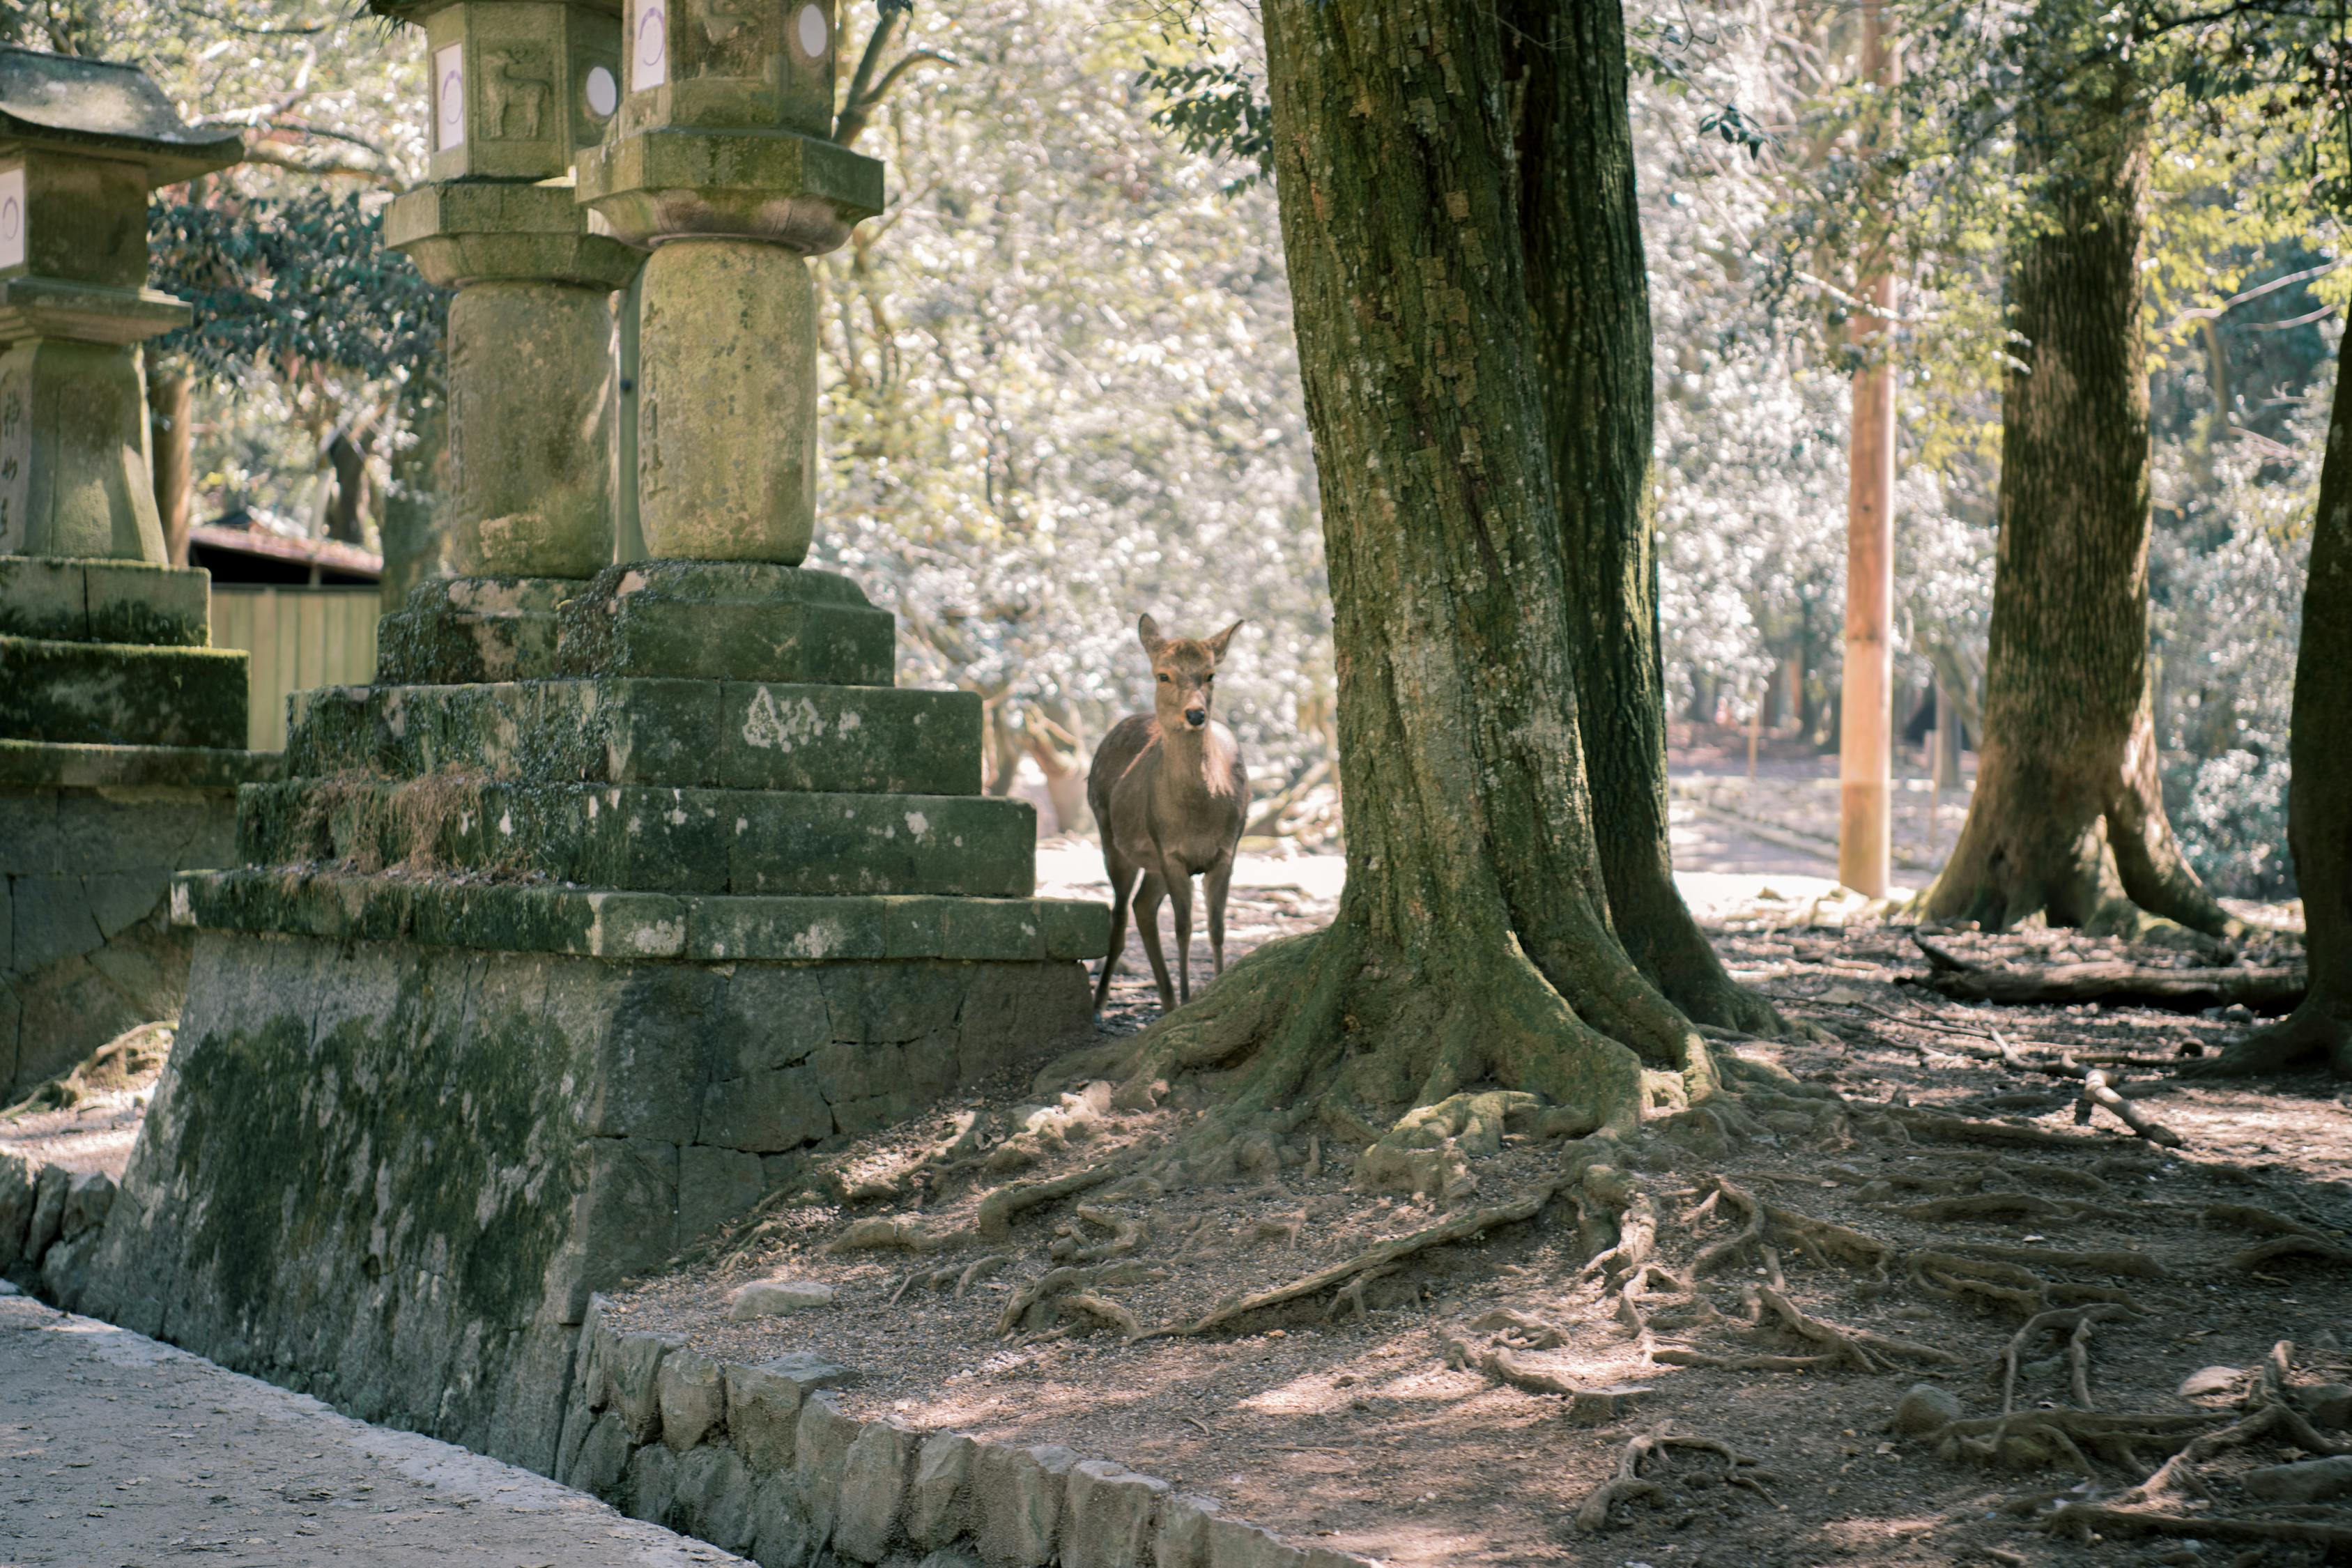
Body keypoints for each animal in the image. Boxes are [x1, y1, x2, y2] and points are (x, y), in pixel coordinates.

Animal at [1091, 611, 1251, 1020]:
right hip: (1110, 835)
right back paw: (1100, 1003)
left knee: (1143, 907)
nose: (1195, 714)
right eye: (1163, 675)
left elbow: (1216, 928)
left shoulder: (1227, 851)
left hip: (1153, 863)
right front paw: (1189, 1000)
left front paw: (1211, 989)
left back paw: (1164, 1000)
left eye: (1210, 674)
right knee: (1120, 914)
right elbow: (1183, 927)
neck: (1197, 817)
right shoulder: (1171, 852)